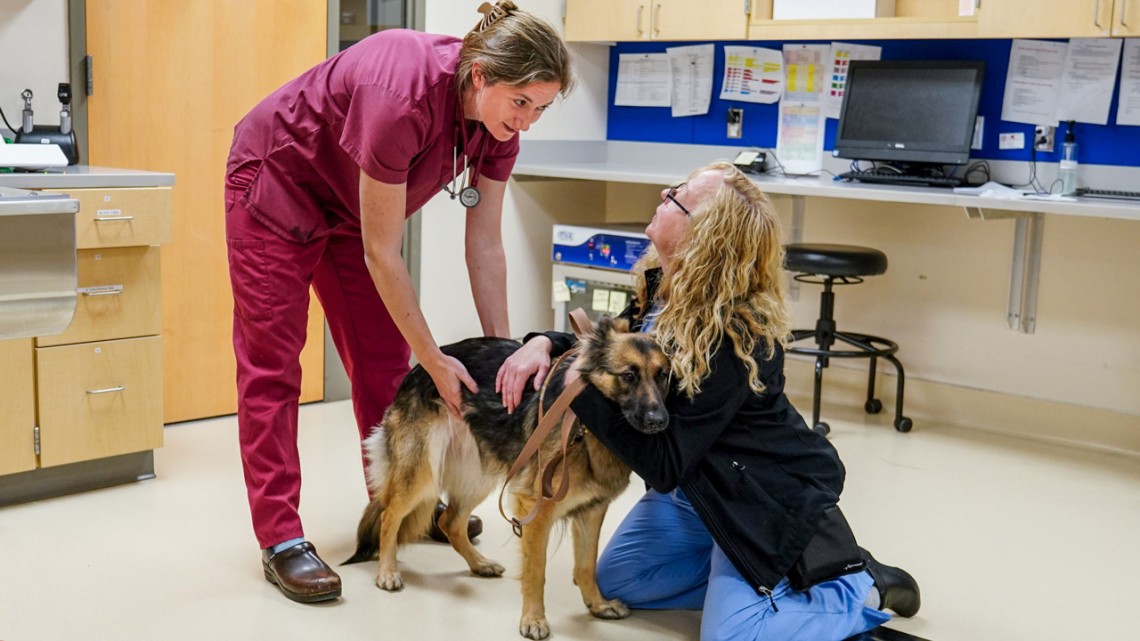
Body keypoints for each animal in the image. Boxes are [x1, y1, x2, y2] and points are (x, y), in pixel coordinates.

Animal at [342, 314, 670, 638]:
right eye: (628, 376)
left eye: (663, 376)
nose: (659, 421)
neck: (583, 427)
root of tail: (419, 369)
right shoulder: (536, 511)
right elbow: (536, 571)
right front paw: (534, 619)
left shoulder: (591, 511)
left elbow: (587, 565)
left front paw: (598, 604)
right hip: (422, 475)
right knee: (389, 516)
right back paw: (387, 571)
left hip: (478, 476)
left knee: (450, 521)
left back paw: (479, 564)